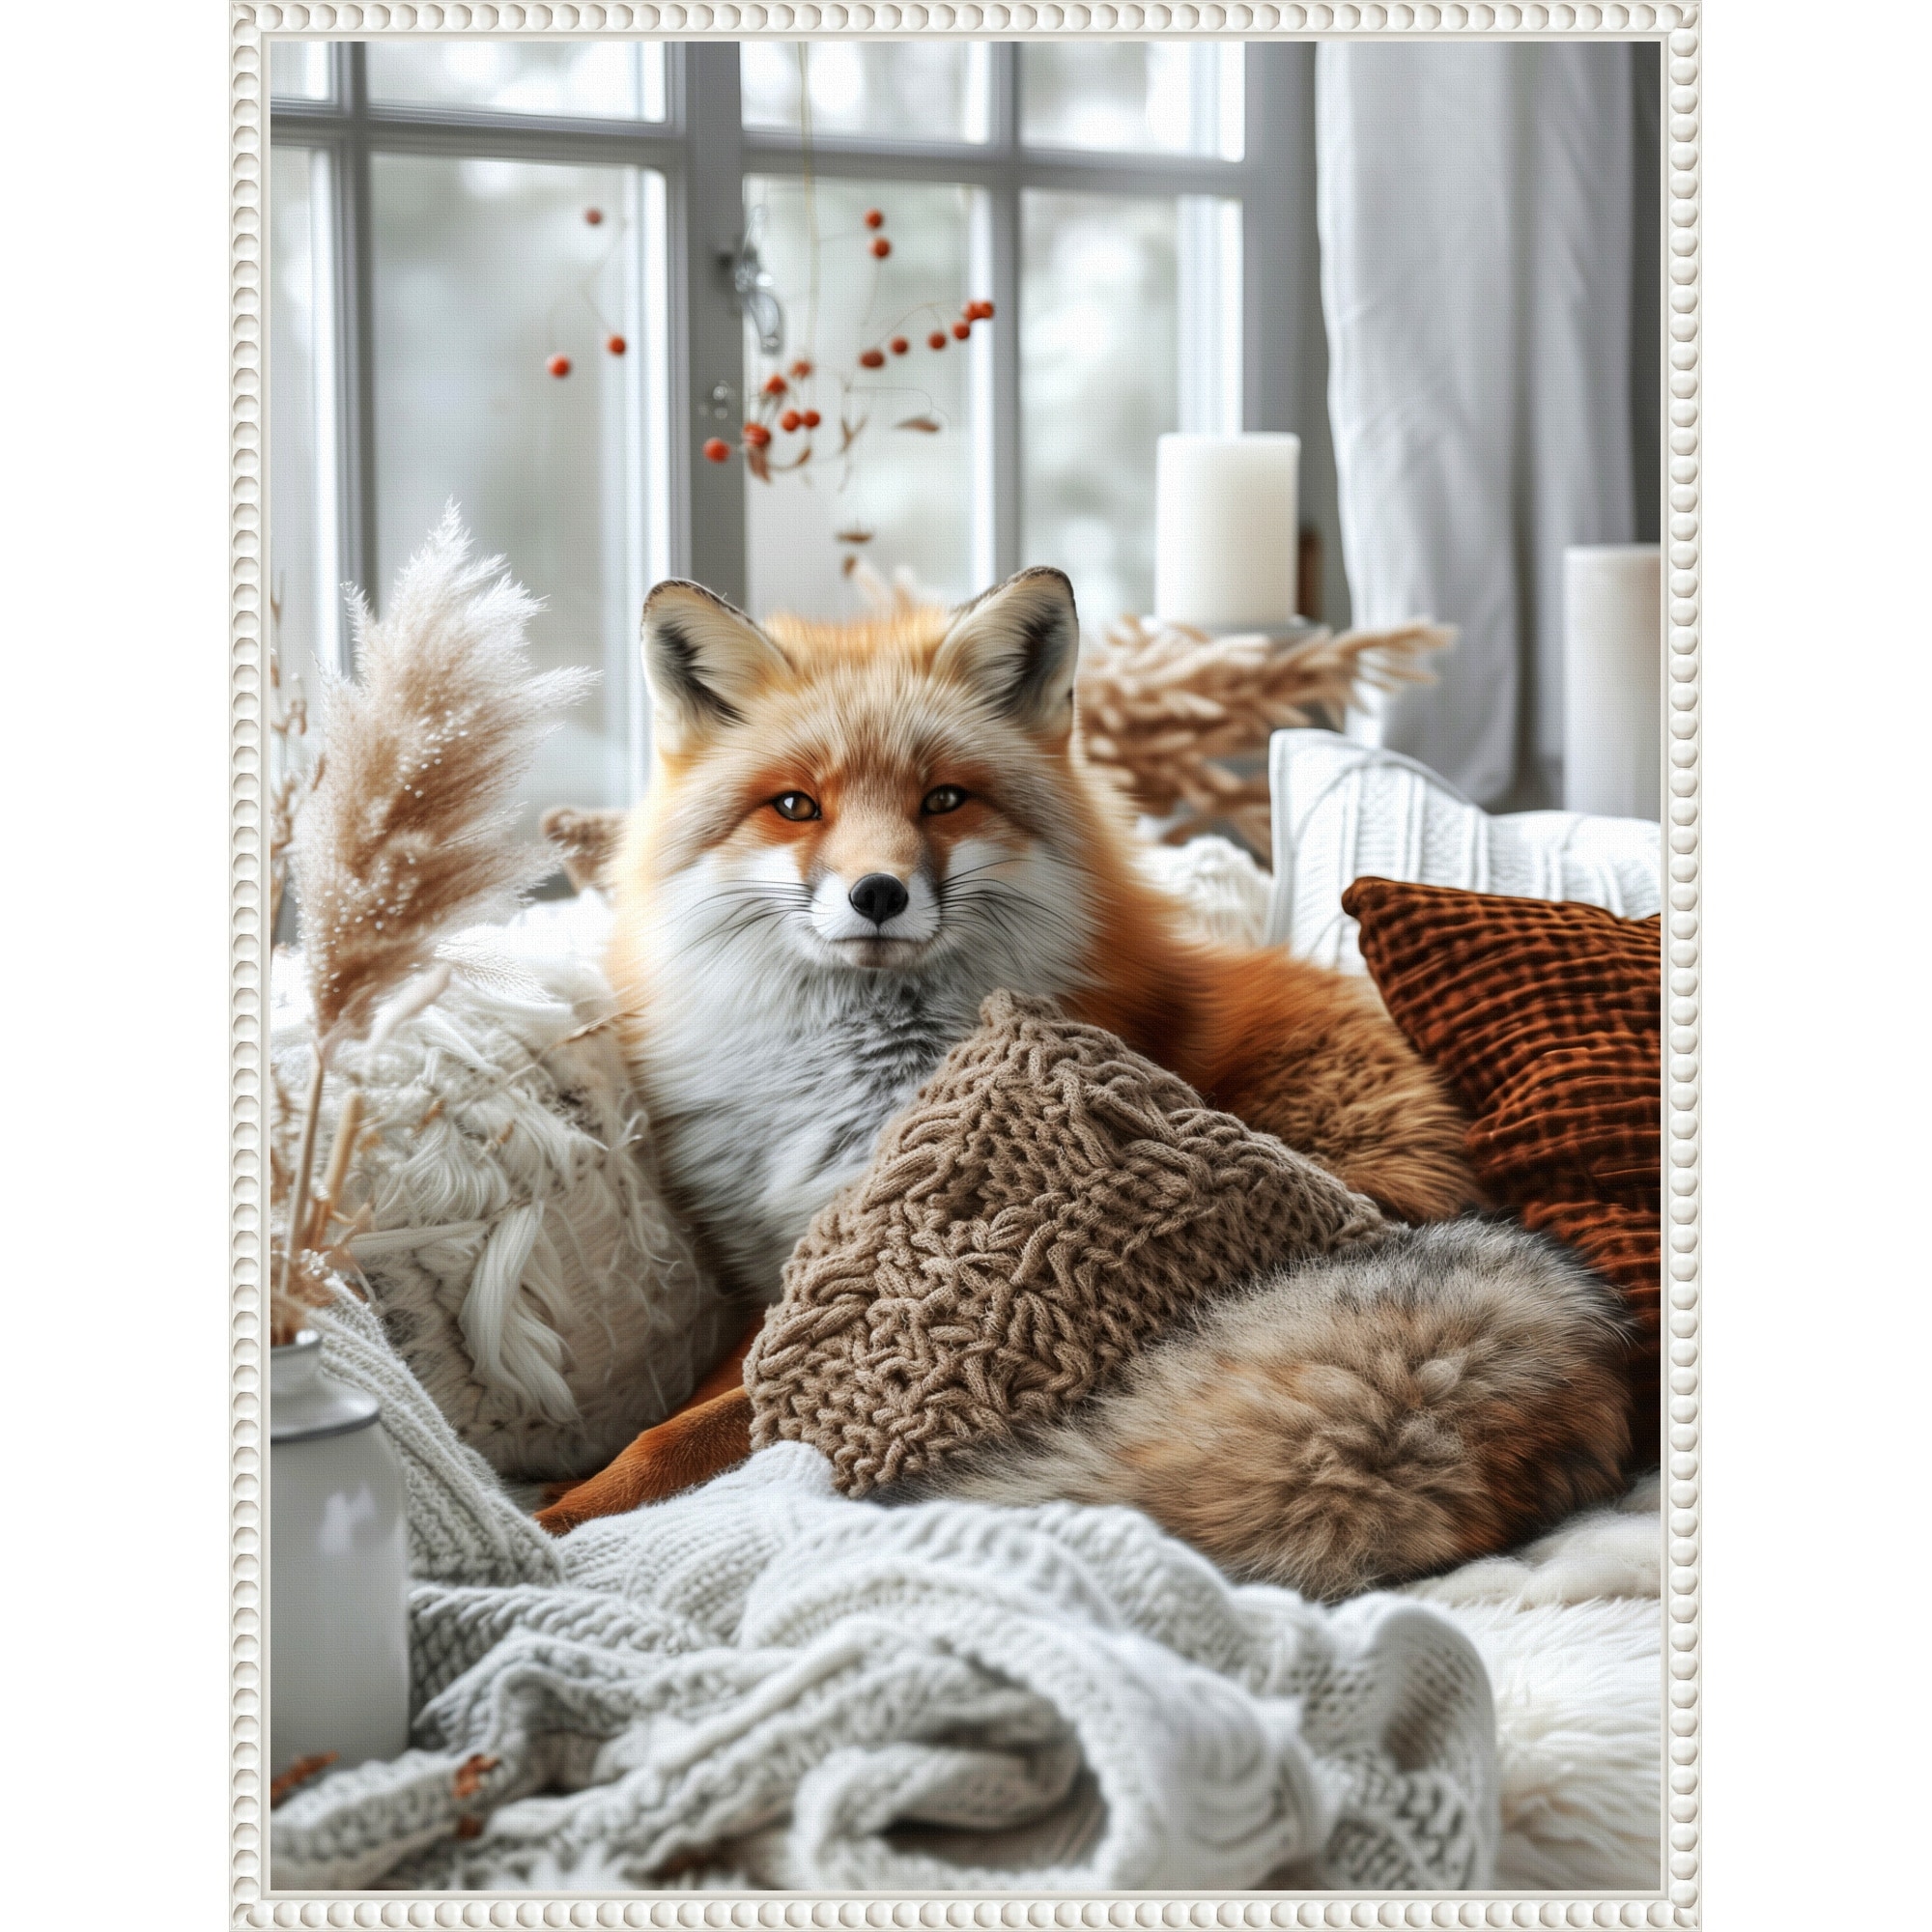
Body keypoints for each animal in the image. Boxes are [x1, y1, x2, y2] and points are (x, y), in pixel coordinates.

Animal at [536, 565, 1492, 1535]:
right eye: (796, 805)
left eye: (943, 798)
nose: (877, 893)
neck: (853, 1087)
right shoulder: (785, 1279)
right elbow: (692, 1400)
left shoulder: (867, 1302)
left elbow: (693, 1430)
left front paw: (560, 1518)